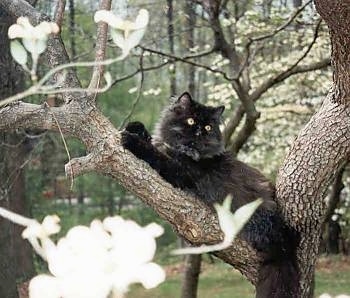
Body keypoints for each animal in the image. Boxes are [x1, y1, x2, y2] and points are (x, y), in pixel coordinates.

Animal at [121, 92, 300, 296]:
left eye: (208, 127)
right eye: (191, 121)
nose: (200, 132)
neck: (184, 151)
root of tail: (286, 242)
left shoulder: (180, 172)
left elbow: (154, 154)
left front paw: (133, 141)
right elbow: (152, 140)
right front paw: (135, 127)